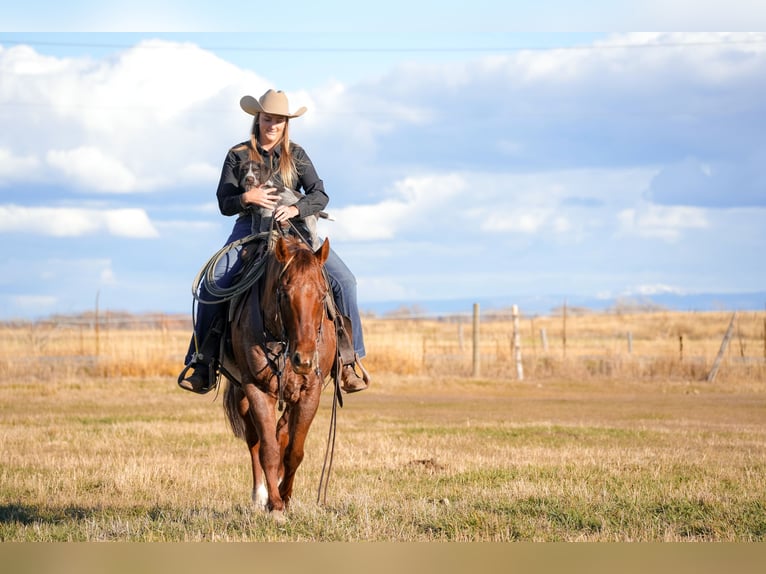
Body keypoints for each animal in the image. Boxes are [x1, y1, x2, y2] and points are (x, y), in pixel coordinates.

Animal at [222, 232, 338, 521]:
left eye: (322, 294)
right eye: (284, 293)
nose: (304, 360)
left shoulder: (310, 392)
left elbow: (294, 451)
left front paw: (285, 497)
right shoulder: (257, 389)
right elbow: (268, 450)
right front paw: (274, 505)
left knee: (282, 433)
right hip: (242, 395)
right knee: (255, 441)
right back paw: (260, 495)